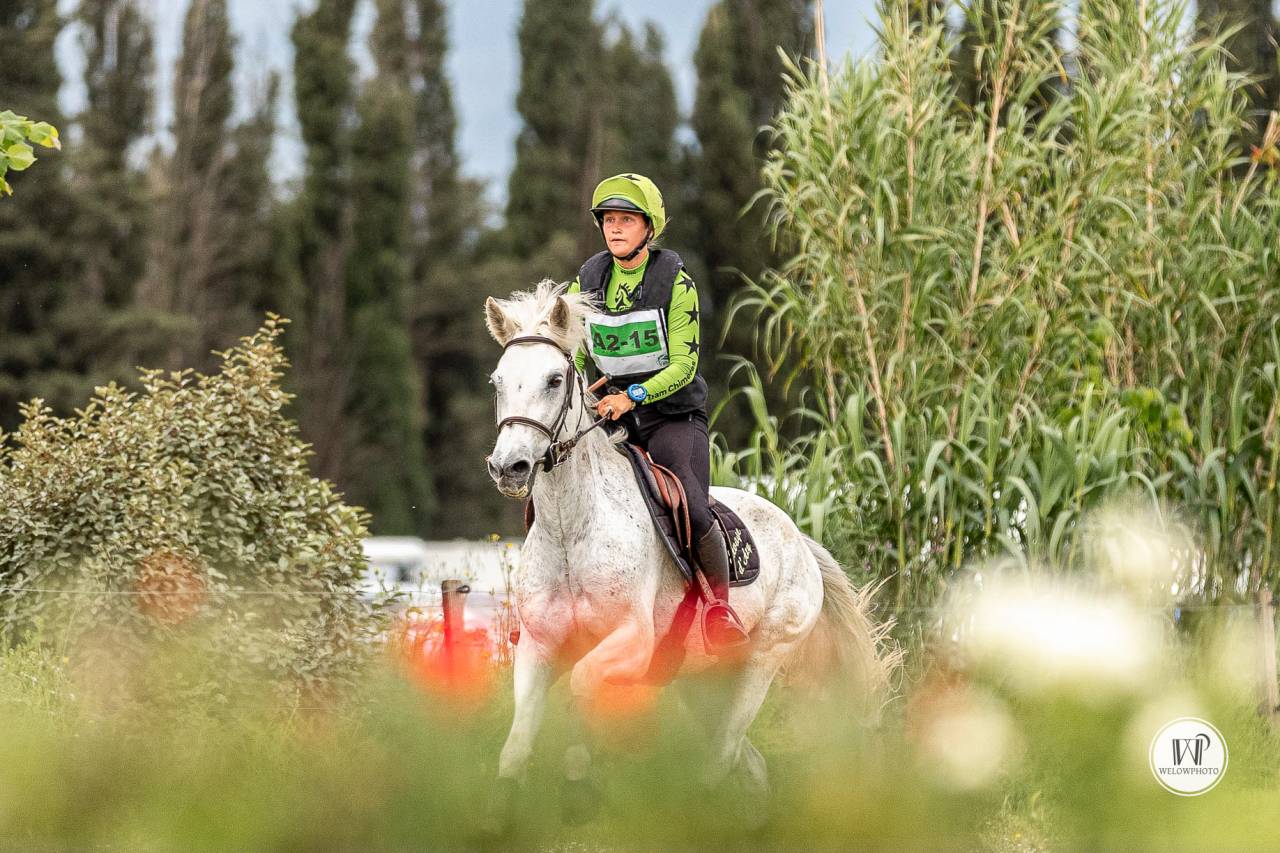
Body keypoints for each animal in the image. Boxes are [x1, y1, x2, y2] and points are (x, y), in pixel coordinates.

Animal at [483, 280, 898, 829]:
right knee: (749, 764)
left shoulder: (632, 641)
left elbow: (583, 689)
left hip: (760, 661)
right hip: (701, 681)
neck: (573, 531)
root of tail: (800, 540)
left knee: (723, 754)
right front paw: (500, 817)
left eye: (554, 380)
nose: (509, 467)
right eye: (497, 382)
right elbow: (515, 743)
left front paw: (578, 784)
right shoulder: (538, 645)